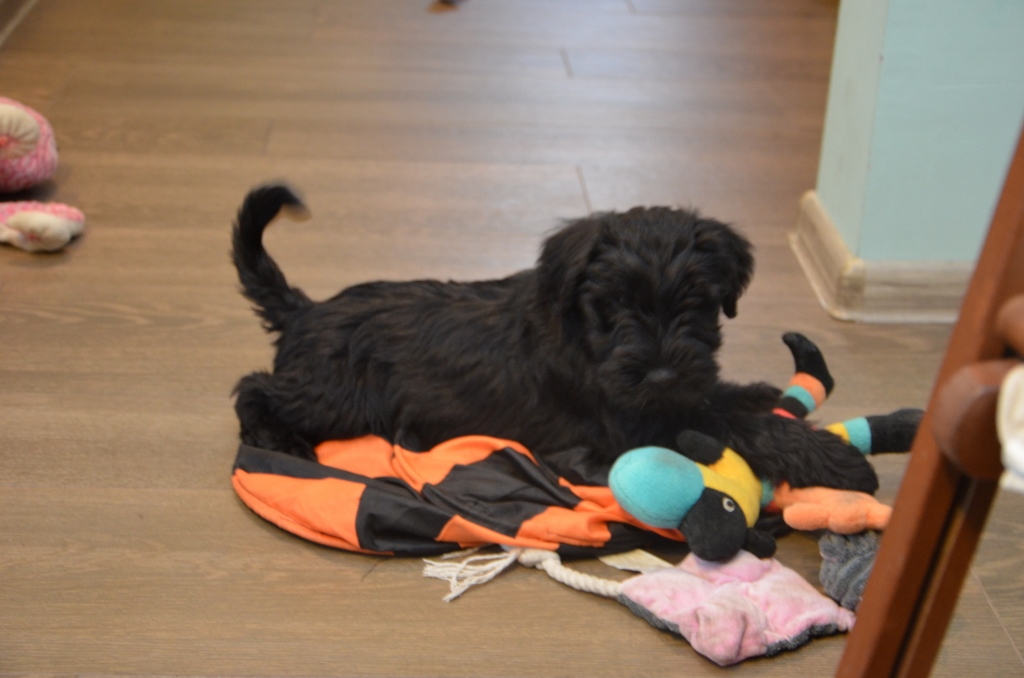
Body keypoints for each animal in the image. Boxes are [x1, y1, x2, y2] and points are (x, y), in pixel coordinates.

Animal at [231, 183, 880, 493]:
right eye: (615, 304)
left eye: (696, 303)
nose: (660, 371)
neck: (588, 340)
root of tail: (306, 310)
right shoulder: (634, 424)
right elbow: (734, 425)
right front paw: (837, 460)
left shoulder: (670, 392)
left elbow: (715, 394)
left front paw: (757, 390)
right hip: (335, 396)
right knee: (254, 386)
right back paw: (280, 442)